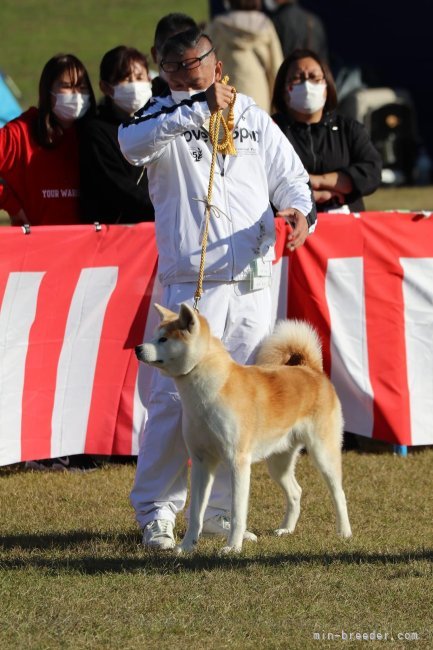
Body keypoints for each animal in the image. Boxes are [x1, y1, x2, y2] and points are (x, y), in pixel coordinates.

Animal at [135, 300, 352, 552]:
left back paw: (344, 532)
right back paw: (286, 529)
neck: (207, 393)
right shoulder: (201, 463)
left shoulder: (238, 462)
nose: (137, 348)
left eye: (163, 339)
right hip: (278, 463)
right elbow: (196, 513)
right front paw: (187, 546)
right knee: (296, 492)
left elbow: (238, 513)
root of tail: (311, 370)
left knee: (339, 493)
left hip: (323, 454)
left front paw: (233, 547)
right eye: (154, 335)